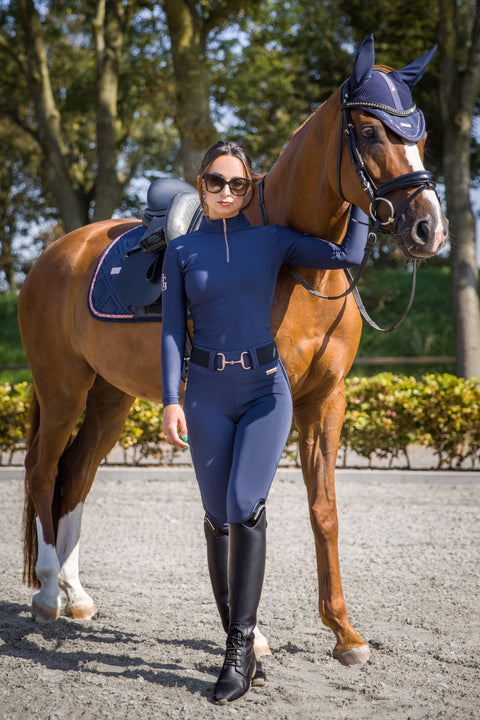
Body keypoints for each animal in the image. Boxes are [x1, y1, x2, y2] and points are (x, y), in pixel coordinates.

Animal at [17, 36, 446, 668]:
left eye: (420, 132)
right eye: (370, 132)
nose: (428, 229)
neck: (300, 262)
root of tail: (55, 254)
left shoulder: (326, 400)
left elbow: (324, 510)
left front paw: (345, 633)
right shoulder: (267, 403)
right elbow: (244, 502)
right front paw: (254, 634)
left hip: (110, 398)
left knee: (75, 477)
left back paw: (76, 596)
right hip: (62, 389)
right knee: (42, 470)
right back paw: (48, 593)